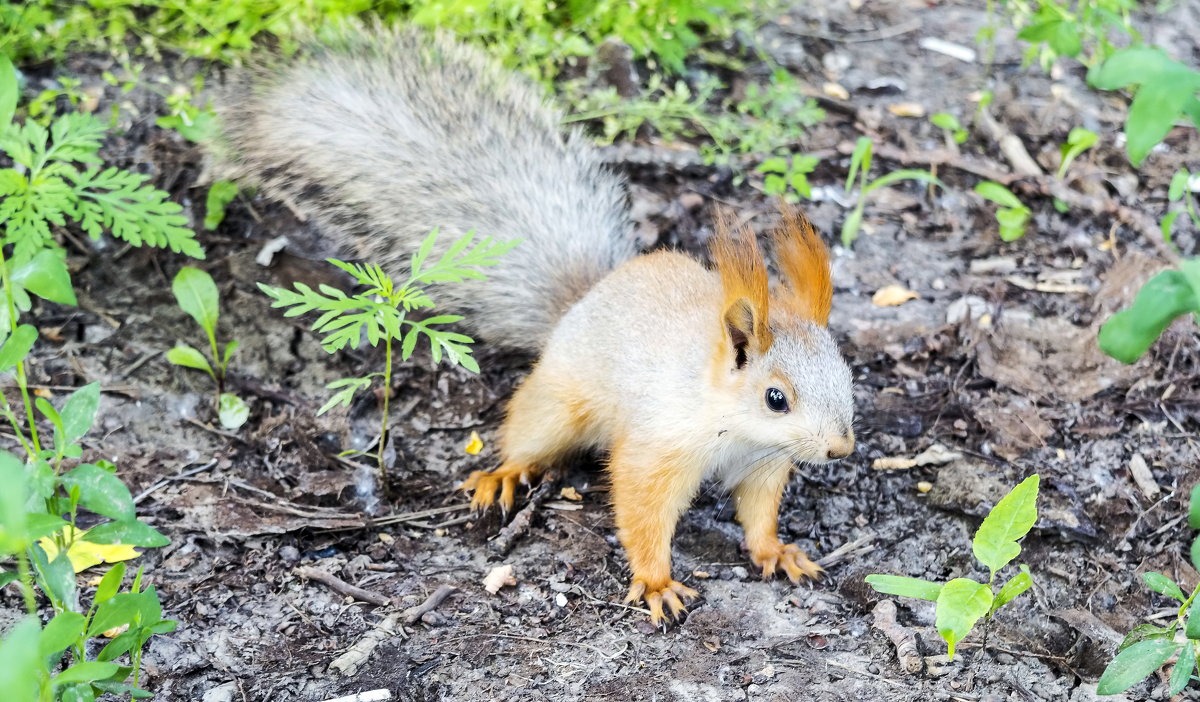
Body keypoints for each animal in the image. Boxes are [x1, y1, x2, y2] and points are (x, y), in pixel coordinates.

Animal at [213, 27, 854, 624]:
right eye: (775, 398)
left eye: (847, 378)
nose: (841, 448)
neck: (733, 421)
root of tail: (584, 298)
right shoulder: (659, 442)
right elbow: (641, 508)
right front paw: (655, 581)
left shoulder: (763, 464)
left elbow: (759, 512)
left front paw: (775, 551)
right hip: (560, 401)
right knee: (527, 432)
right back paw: (504, 474)